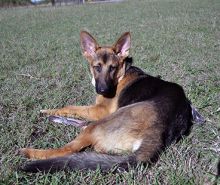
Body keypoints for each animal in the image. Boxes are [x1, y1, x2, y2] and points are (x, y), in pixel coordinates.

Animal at [19, 30, 204, 173]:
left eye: (112, 68)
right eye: (97, 67)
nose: (102, 90)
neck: (121, 74)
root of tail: (159, 132)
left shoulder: (99, 110)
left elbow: (70, 106)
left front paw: (49, 110)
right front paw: (50, 113)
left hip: (101, 122)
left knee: (67, 149)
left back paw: (30, 152)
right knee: (83, 129)